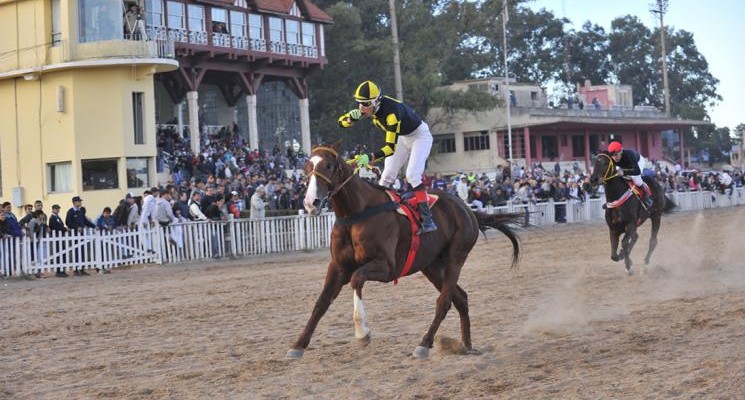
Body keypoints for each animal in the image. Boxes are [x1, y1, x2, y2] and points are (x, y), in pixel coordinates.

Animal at [286, 142, 520, 359]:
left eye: (328, 165)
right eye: (307, 166)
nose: (311, 202)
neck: (356, 213)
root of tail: (468, 210)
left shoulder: (387, 267)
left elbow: (356, 278)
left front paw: (362, 334)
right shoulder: (338, 266)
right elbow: (322, 301)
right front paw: (298, 345)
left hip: (456, 258)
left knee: (444, 302)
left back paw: (424, 344)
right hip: (432, 266)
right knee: (461, 298)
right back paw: (466, 346)